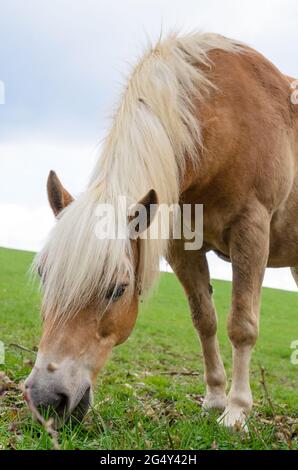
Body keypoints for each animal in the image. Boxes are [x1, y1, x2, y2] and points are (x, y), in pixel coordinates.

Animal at [25, 32, 298, 430]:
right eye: (45, 275)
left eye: (117, 289)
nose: (46, 399)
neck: (225, 119)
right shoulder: (182, 247)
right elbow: (205, 321)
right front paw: (215, 399)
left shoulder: (251, 231)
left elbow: (241, 326)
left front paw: (235, 412)